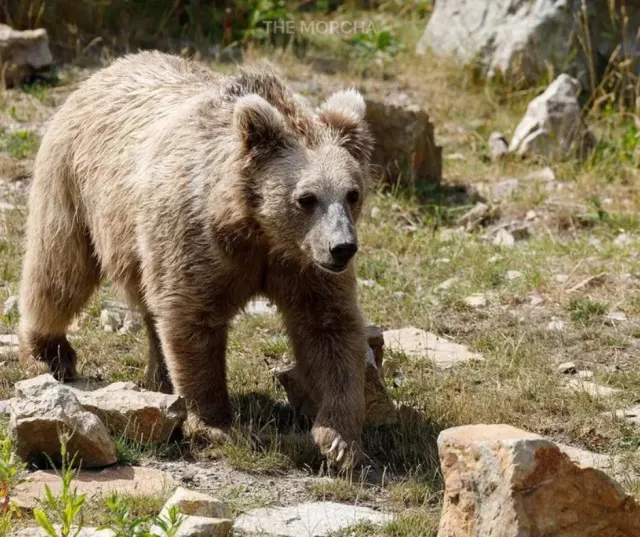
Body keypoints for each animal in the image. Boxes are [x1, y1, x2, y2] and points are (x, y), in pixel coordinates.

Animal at [18, 51, 374, 466]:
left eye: (352, 193)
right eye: (306, 198)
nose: (342, 247)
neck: (257, 230)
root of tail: (108, 68)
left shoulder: (303, 265)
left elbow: (329, 328)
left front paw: (340, 441)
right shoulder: (198, 240)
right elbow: (193, 321)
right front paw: (214, 423)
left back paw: (158, 376)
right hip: (74, 185)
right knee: (60, 269)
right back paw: (50, 351)